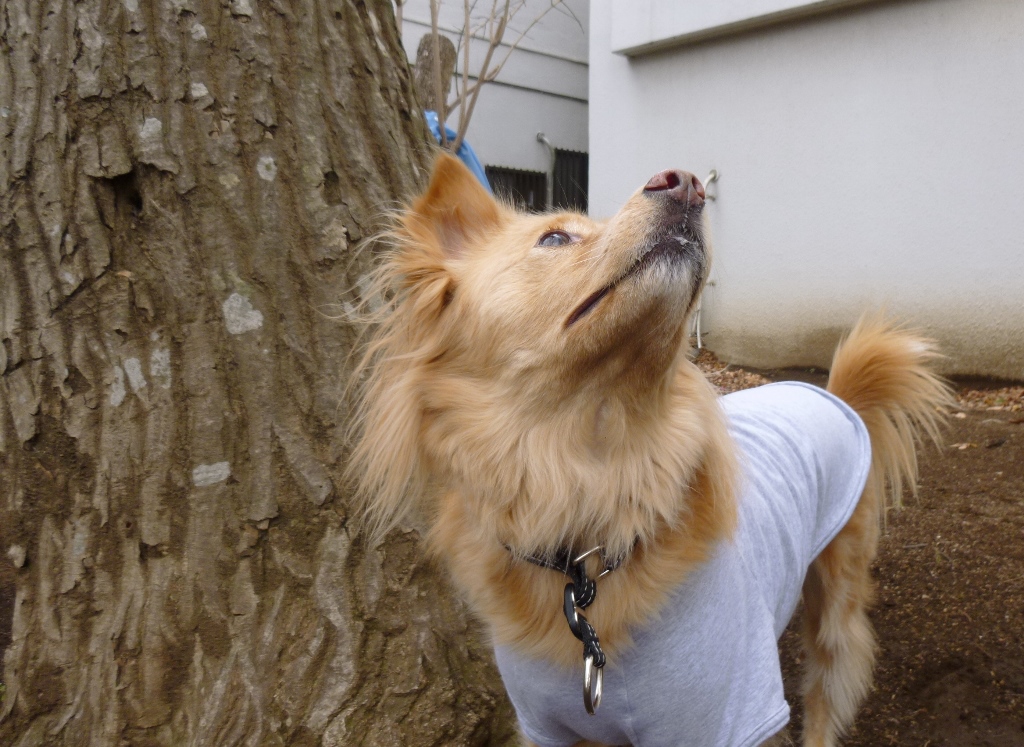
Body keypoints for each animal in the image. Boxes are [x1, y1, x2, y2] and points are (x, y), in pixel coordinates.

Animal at [348, 152, 946, 745]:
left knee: (827, 689)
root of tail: (829, 393)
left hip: (836, 599)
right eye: (555, 238)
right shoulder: (549, 728)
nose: (686, 183)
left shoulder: (726, 715)